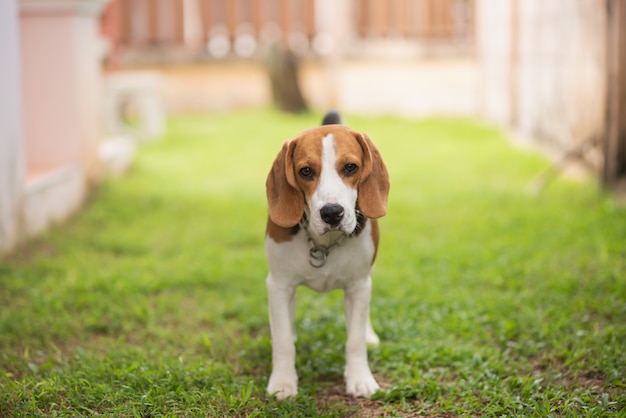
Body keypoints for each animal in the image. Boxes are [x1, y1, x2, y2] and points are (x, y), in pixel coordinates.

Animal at [264, 111, 390, 398]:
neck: (323, 245)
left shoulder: (358, 285)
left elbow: (354, 340)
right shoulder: (278, 284)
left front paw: (360, 378)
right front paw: (283, 383)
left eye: (351, 167)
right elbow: (283, 341)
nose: (332, 213)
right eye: (306, 171)